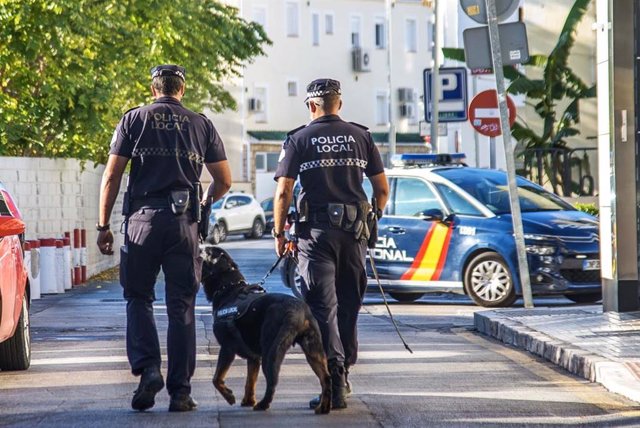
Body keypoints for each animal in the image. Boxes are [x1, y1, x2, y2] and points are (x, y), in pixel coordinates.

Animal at [200, 246, 330, 412]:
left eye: (204, 253)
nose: (199, 247)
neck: (229, 288)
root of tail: (298, 311)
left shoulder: (227, 348)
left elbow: (217, 378)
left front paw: (229, 396)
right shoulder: (254, 358)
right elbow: (250, 381)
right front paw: (248, 400)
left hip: (271, 350)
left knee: (273, 381)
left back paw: (263, 404)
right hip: (314, 350)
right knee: (326, 378)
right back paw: (323, 406)